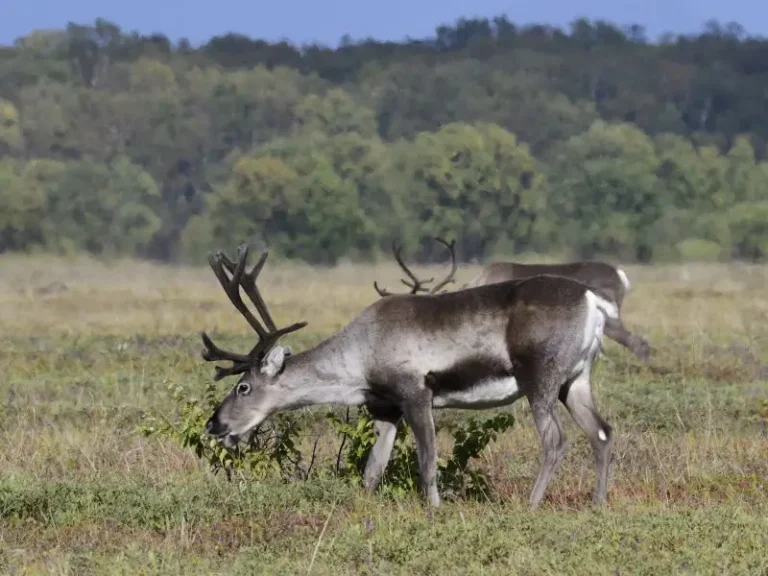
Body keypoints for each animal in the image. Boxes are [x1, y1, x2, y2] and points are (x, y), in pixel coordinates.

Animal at [202, 244, 619, 508]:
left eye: (243, 386)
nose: (214, 425)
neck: (360, 357)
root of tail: (593, 301)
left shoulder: (416, 393)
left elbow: (428, 461)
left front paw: (435, 510)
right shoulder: (386, 409)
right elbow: (373, 469)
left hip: (540, 377)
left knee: (555, 440)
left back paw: (530, 506)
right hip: (575, 380)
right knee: (601, 431)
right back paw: (598, 504)